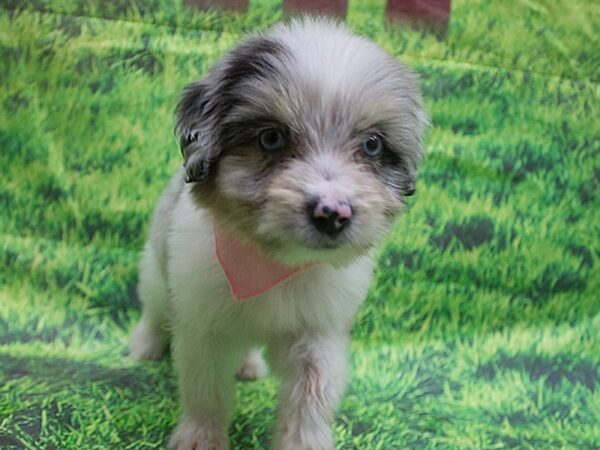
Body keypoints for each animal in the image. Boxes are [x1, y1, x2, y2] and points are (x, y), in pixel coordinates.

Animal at [131, 17, 426, 450]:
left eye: (373, 145)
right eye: (271, 138)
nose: (333, 212)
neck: (272, 264)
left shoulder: (319, 333)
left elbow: (310, 397)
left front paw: (304, 441)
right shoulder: (202, 327)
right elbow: (205, 391)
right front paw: (201, 437)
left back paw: (248, 364)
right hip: (155, 270)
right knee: (153, 310)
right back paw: (145, 345)